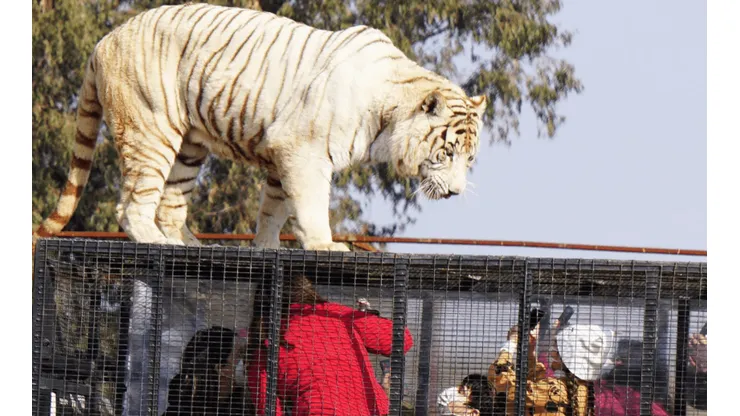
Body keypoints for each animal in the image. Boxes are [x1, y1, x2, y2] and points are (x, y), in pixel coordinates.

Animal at [33, 3, 487, 252]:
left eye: (470, 160)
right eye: (447, 153)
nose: (455, 192)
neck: (386, 116)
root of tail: (103, 41)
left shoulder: (282, 159)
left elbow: (273, 210)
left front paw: (265, 249)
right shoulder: (304, 153)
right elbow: (309, 206)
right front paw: (325, 244)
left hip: (188, 148)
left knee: (169, 205)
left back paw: (189, 246)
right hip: (151, 131)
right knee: (131, 206)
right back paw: (157, 242)